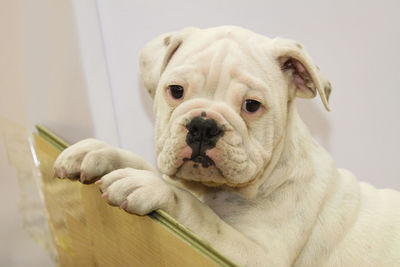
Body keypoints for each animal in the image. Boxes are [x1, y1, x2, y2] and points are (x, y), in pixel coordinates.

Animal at [54, 26, 400, 266]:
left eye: (252, 105)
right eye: (176, 90)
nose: (203, 126)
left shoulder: (256, 256)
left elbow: (202, 217)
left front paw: (152, 188)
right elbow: (148, 166)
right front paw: (99, 152)